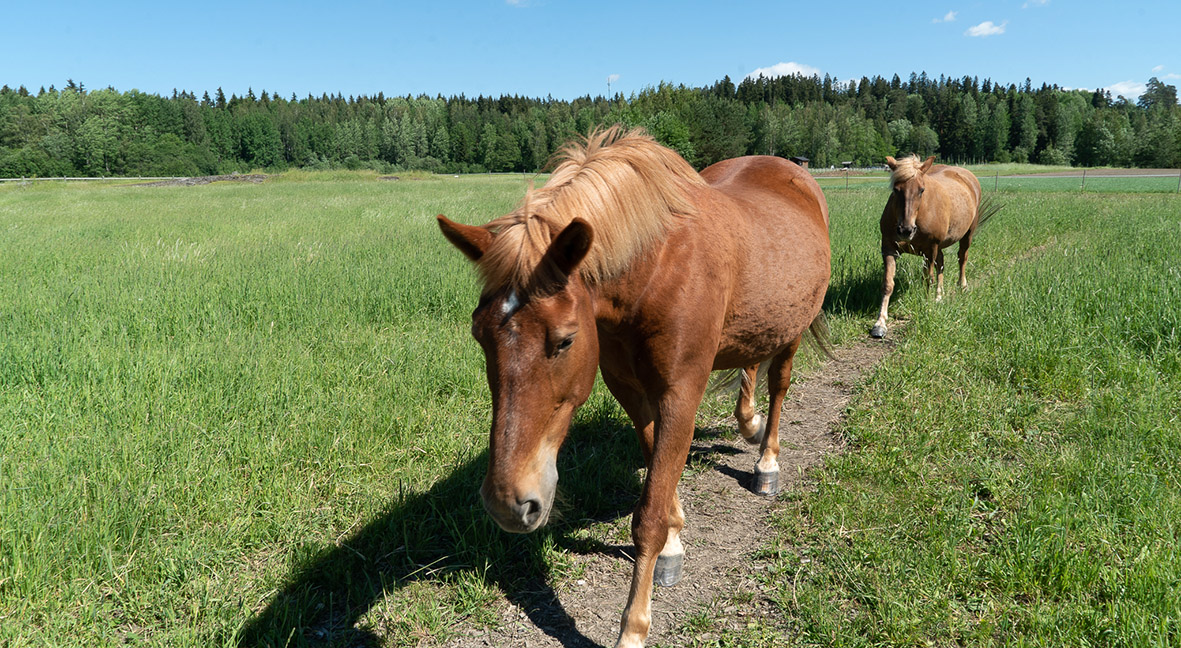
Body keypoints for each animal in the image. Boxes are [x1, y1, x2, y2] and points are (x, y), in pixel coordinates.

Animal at [436, 127, 831, 646]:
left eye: (565, 340)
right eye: (479, 334)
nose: (507, 503)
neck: (657, 271)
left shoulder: (681, 394)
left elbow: (648, 514)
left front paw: (633, 628)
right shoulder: (631, 389)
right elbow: (658, 479)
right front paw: (674, 543)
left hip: (793, 333)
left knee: (779, 385)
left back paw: (767, 462)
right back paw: (749, 424)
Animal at [869, 155, 996, 337]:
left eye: (922, 190)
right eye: (896, 189)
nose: (906, 230)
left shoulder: (930, 249)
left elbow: (927, 279)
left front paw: (926, 307)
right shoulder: (889, 249)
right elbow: (888, 284)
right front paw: (880, 323)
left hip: (966, 235)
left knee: (962, 259)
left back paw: (962, 287)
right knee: (941, 264)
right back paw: (939, 296)